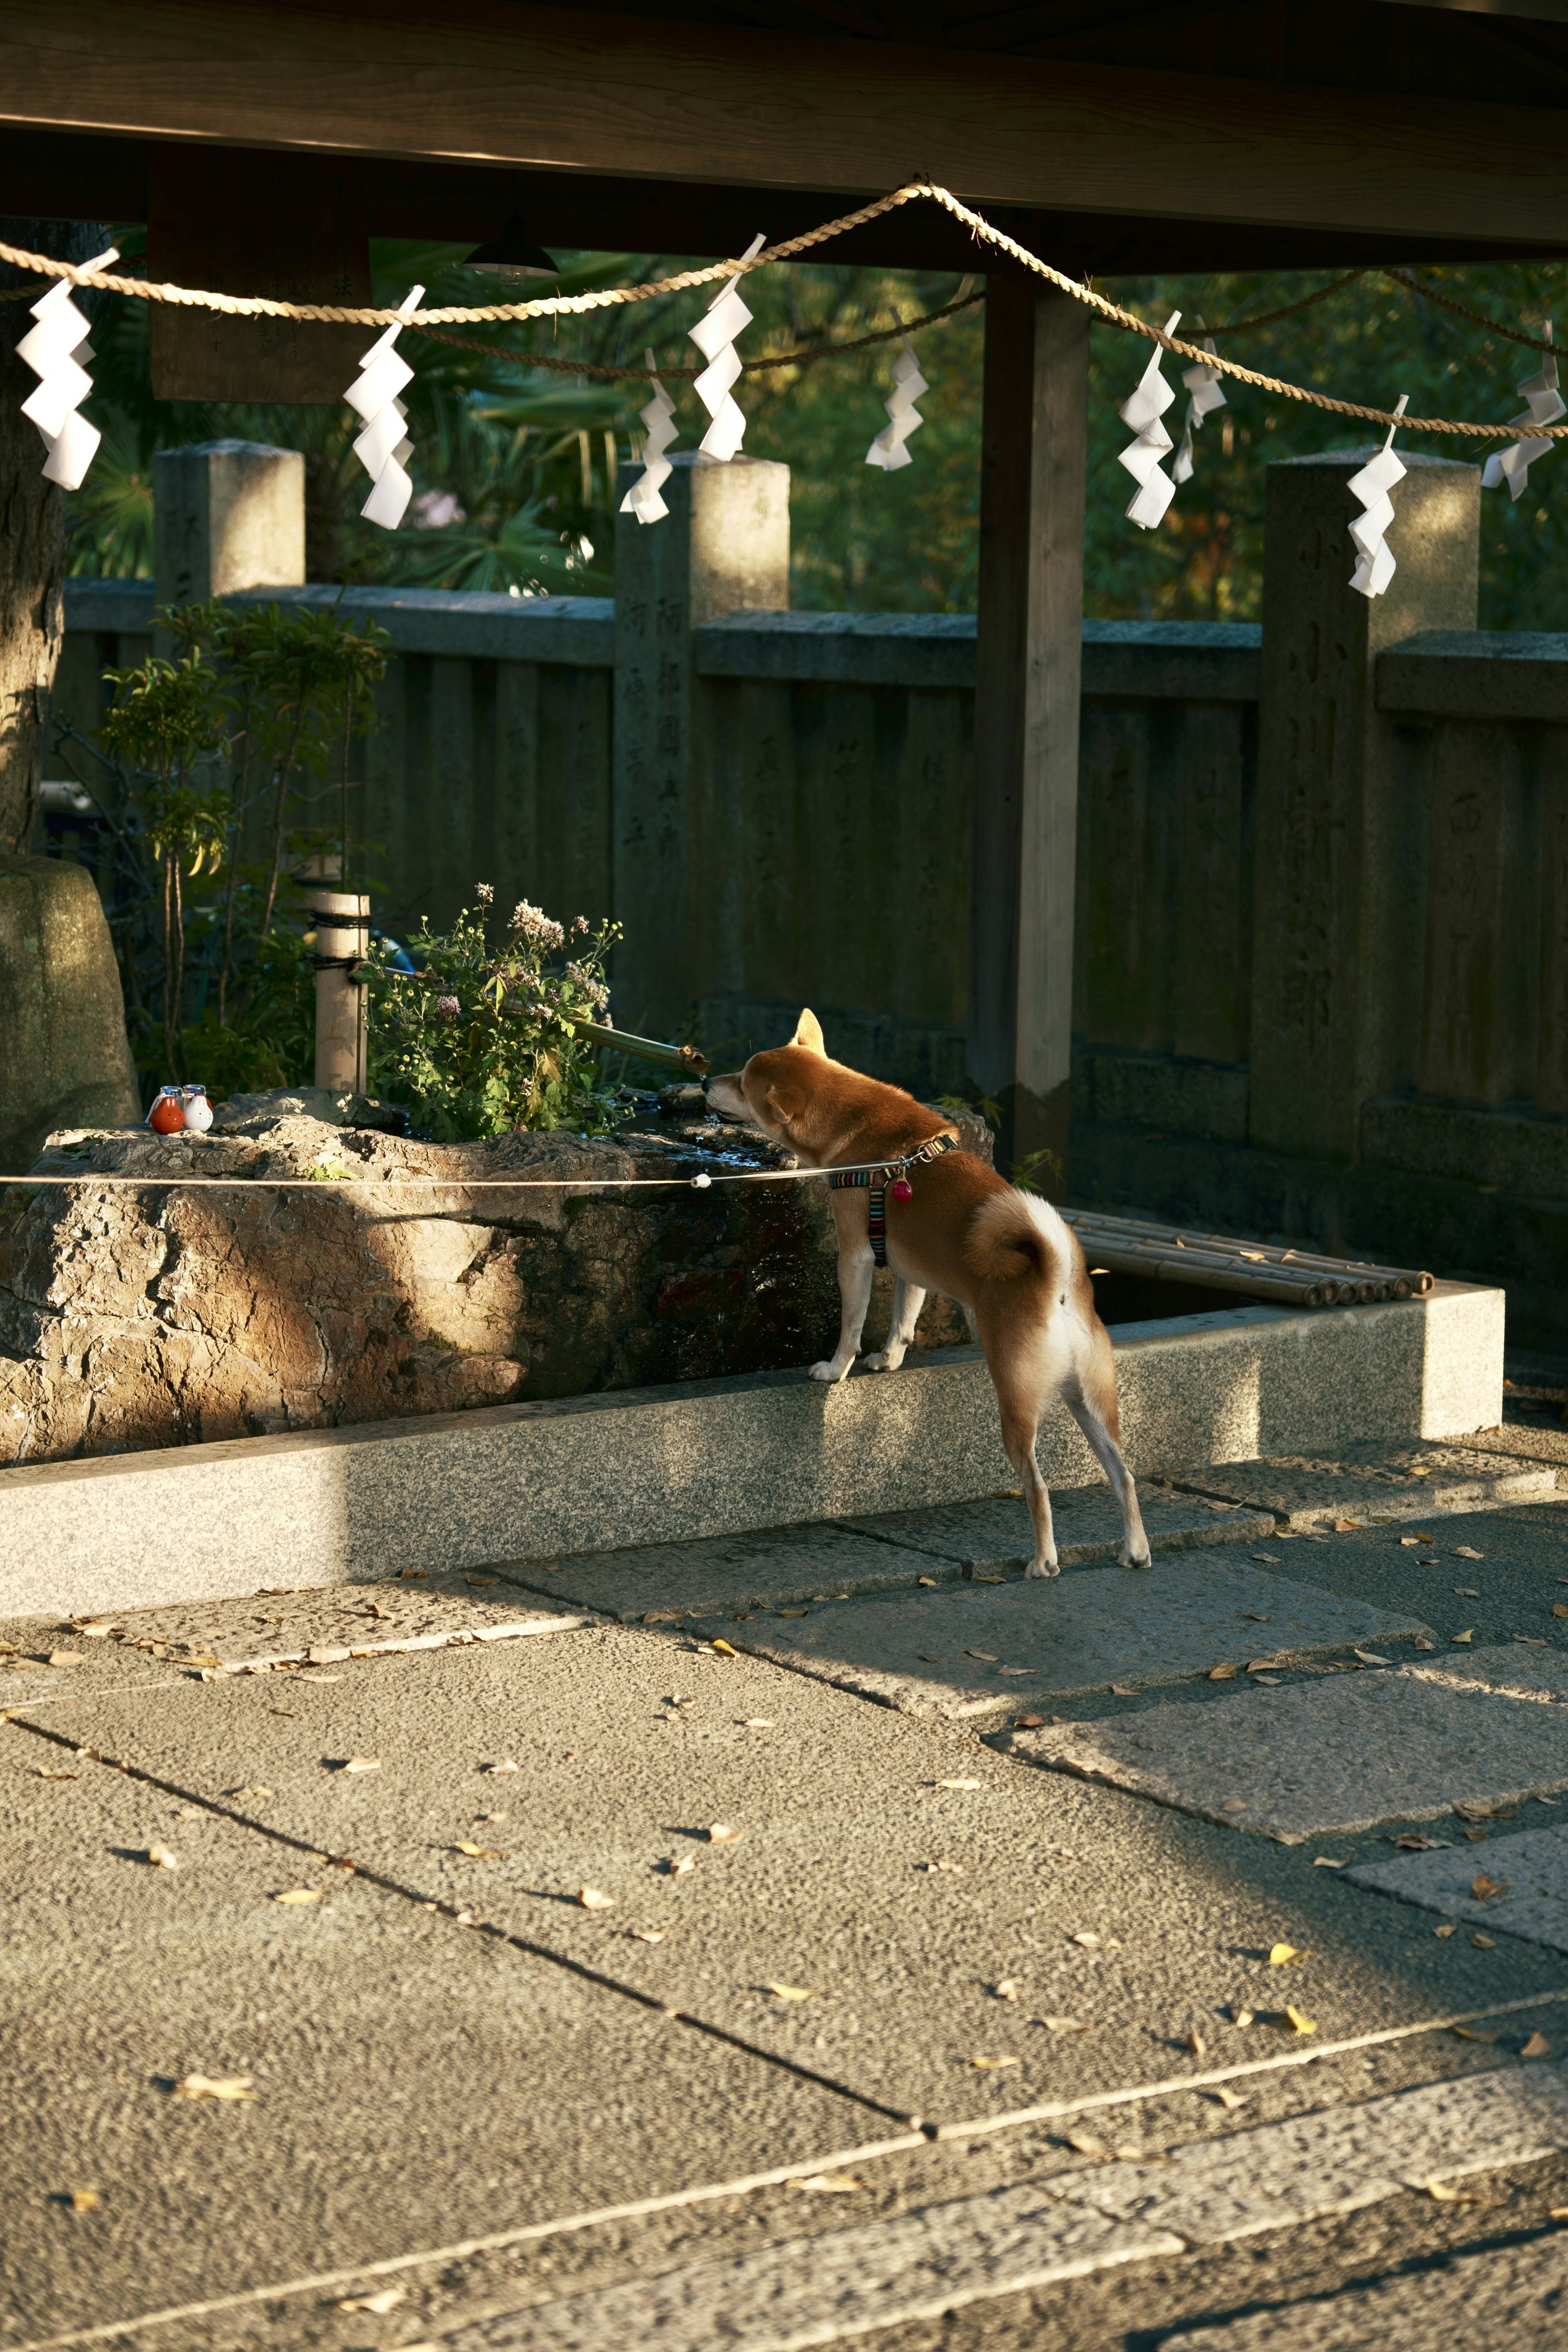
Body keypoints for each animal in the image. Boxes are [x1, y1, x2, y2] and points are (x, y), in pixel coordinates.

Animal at [705, 1011, 1147, 1580]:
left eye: (742, 1082)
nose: (704, 1082)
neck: (856, 1128)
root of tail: (1057, 1281)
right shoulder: (908, 1270)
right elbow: (903, 1320)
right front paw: (889, 1359)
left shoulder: (855, 1256)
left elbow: (851, 1326)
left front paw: (836, 1369)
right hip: (1089, 1401)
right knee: (1124, 1474)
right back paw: (1135, 1549)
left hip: (1017, 1400)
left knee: (1038, 1486)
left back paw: (1044, 1560)